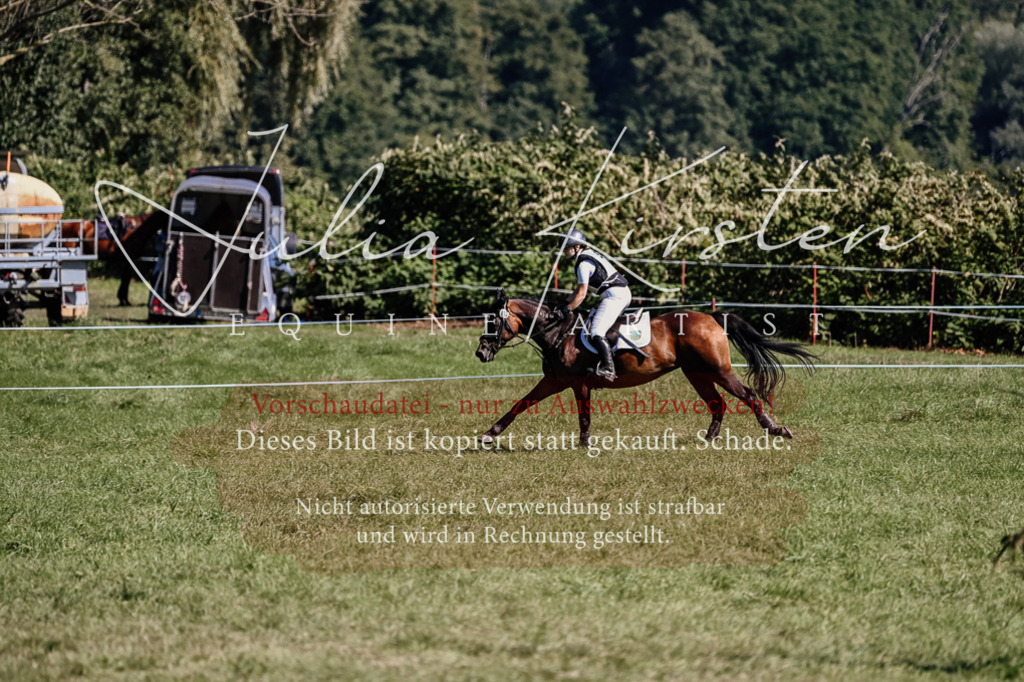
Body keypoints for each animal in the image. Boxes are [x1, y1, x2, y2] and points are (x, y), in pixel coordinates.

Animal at [474, 289, 816, 447]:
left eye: (494, 322)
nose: (480, 352)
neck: (560, 334)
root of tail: (712, 317)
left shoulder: (578, 384)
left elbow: (583, 415)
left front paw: (584, 445)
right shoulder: (555, 381)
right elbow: (520, 404)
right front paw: (489, 434)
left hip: (717, 370)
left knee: (748, 394)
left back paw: (776, 429)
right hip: (697, 373)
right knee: (717, 403)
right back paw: (710, 438)